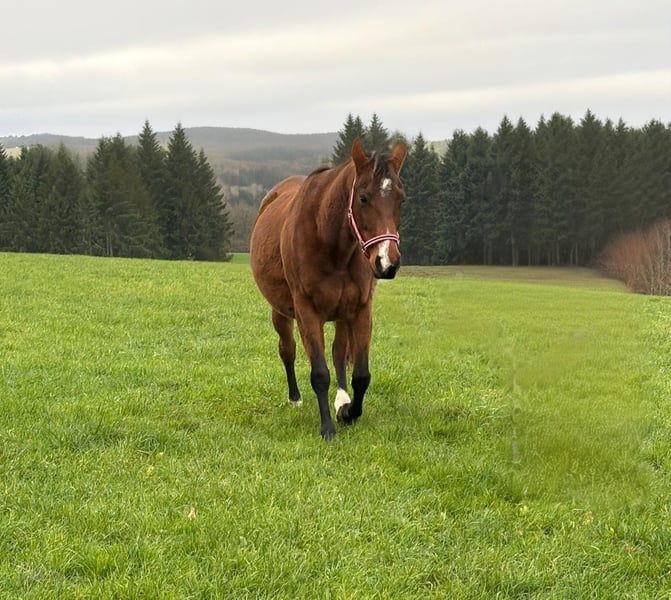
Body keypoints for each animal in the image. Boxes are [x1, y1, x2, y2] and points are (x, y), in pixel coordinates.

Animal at [250, 138, 407, 439]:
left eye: (401, 199)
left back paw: (341, 399)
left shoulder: (360, 309)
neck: (329, 240)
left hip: (342, 313)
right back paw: (295, 397)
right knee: (287, 349)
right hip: (281, 313)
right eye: (363, 197)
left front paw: (347, 411)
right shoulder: (307, 311)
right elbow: (319, 373)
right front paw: (327, 428)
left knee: (338, 353)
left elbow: (360, 374)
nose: (387, 262)